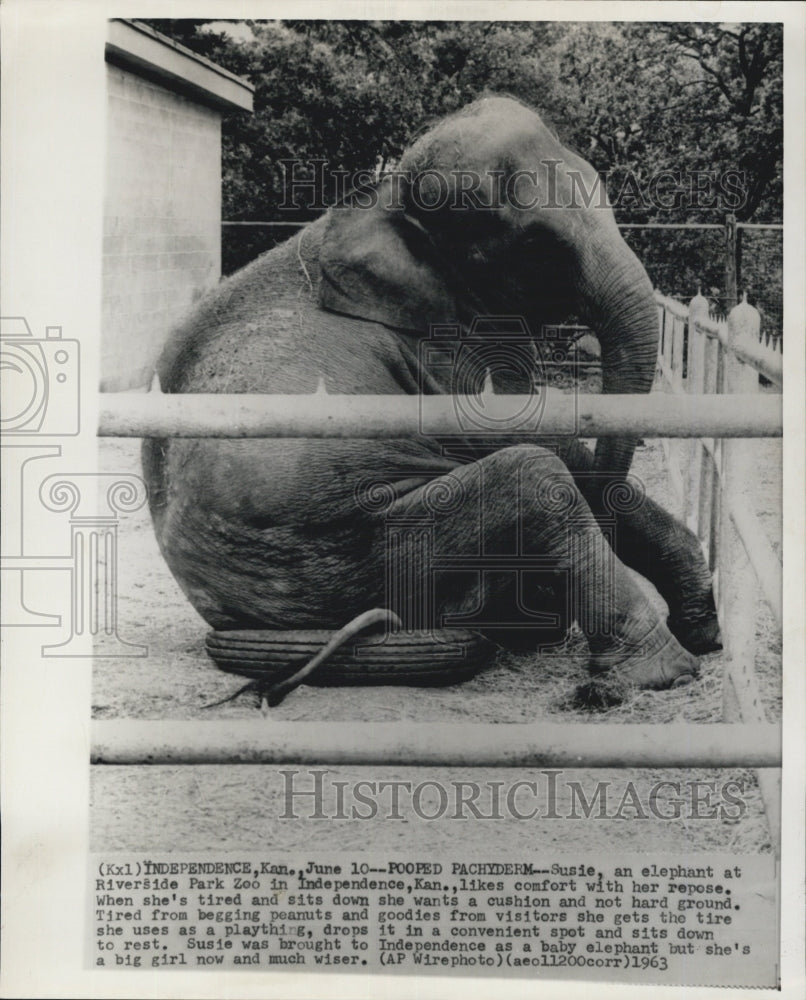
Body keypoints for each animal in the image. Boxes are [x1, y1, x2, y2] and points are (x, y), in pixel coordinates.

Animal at [142, 95, 724, 704]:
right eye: (536, 247)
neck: (386, 199)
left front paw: (705, 628)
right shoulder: (437, 343)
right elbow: (533, 435)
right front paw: (688, 646)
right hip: (361, 558)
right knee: (534, 479)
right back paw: (653, 671)